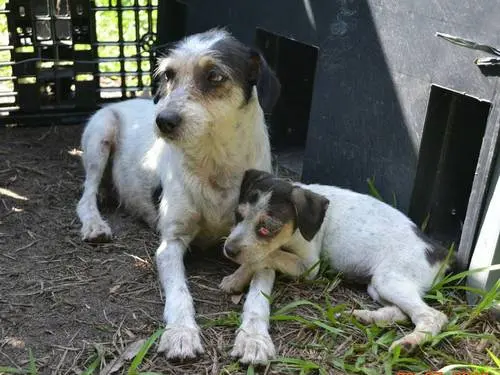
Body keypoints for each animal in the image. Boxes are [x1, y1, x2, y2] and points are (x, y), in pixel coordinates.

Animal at [77, 29, 282, 364]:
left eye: (214, 75)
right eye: (169, 74)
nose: (163, 121)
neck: (215, 162)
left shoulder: (264, 248)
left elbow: (258, 298)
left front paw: (253, 338)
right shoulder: (170, 243)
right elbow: (179, 292)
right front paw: (181, 334)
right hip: (100, 135)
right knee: (86, 196)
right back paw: (95, 224)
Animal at [222, 170, 450, 352]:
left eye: (266, 228)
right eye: (238, 215)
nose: (228, 250)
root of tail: (440, 253)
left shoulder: (309, 266)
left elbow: (266, 255)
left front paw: (237, 276)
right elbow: (261, 255)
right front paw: (236, 277)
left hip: (389, 280)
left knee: (432, 316)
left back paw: (409, 342)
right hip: (378, 286)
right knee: (403, 313)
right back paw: (364, 316)